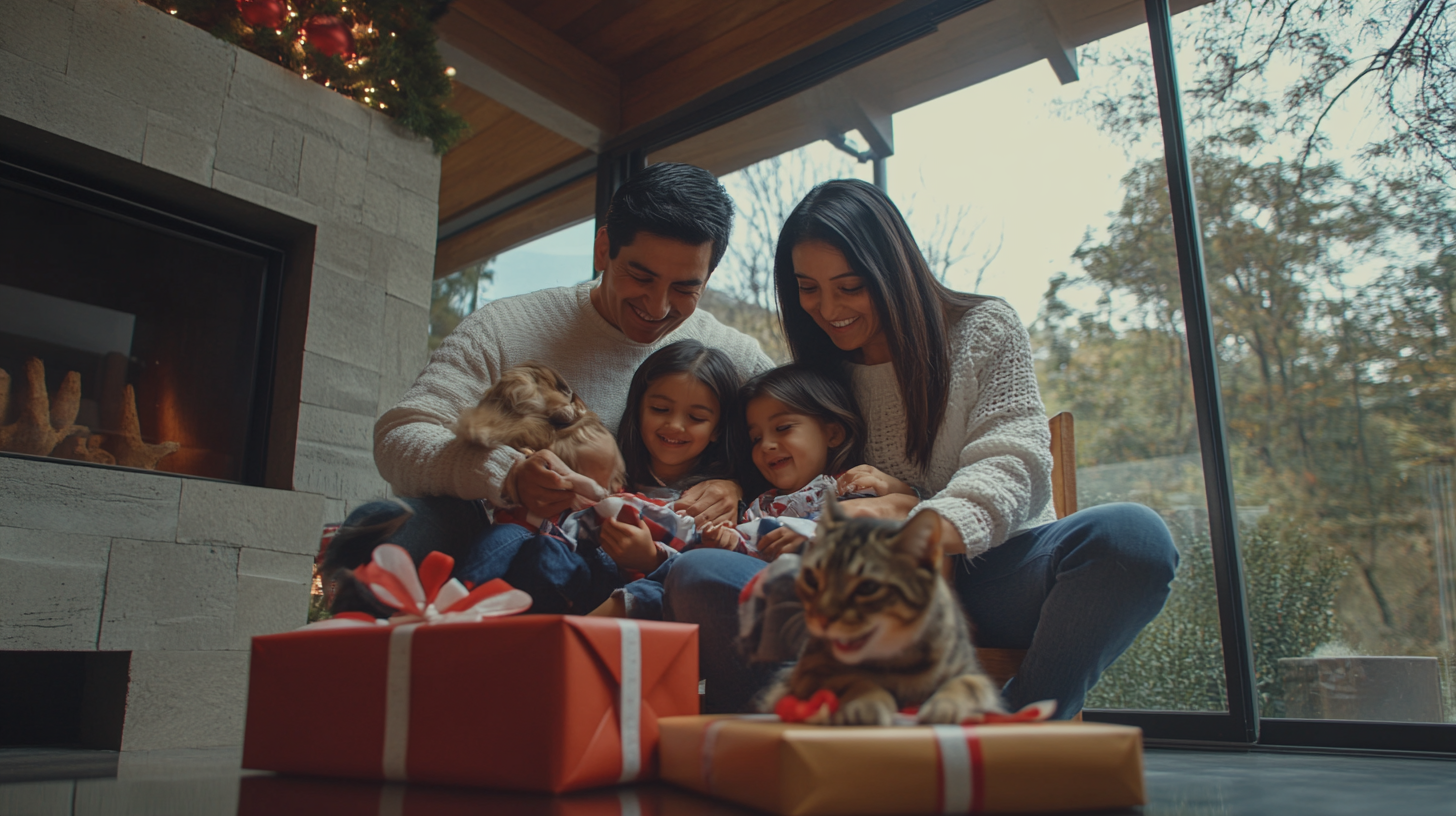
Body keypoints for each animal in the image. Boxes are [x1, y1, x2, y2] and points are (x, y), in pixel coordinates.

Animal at [751, 498, 1001, 725]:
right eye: (812, 579)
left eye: (868, 587)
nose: (822, 618)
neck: (898, 659)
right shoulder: (807, 673)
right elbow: (853, 679)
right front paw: (866, 702)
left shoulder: (974, 673)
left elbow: (966, 685)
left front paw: (948, 705)